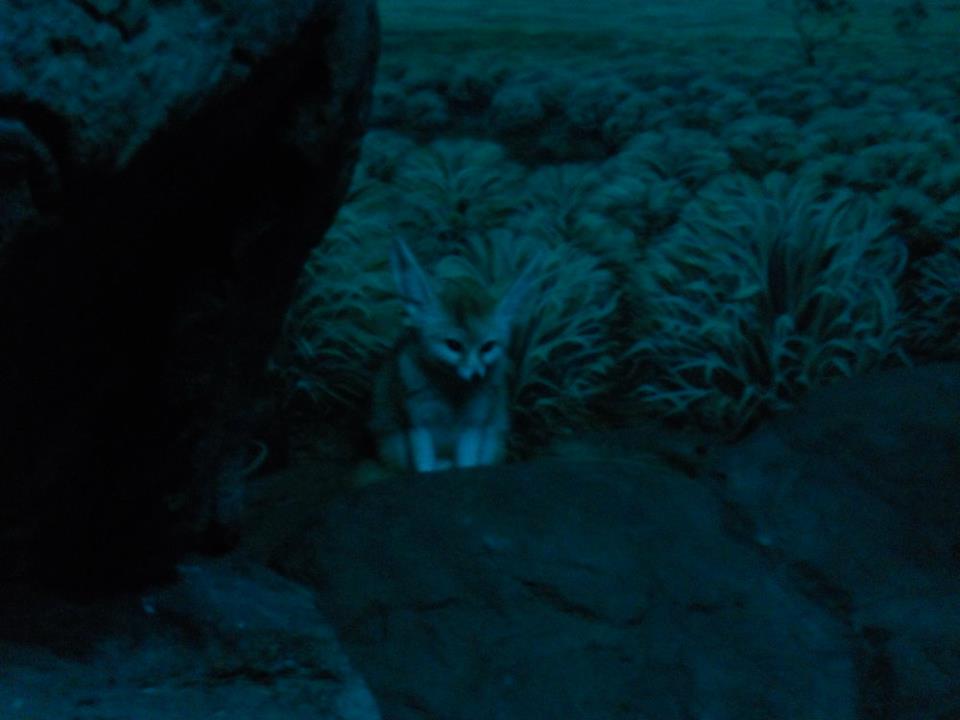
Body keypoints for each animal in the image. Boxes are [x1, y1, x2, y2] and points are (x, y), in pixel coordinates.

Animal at [370, 238, 536, 473]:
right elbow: (424, 466)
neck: (451, 392)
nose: (476, 376)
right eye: (453, 345)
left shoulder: (473, 426)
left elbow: (467, 464)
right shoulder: (417, 426)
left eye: (487, 347)